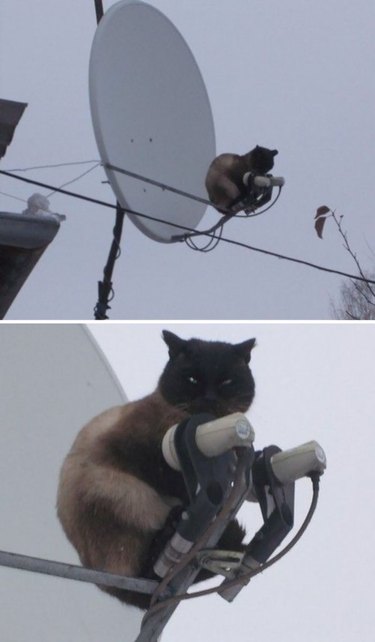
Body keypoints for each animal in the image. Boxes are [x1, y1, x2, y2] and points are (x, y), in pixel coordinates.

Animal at [56, 332, 256, 608]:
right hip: (122, 492)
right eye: (192, 379)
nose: (209, 398)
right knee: (145, 573)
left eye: (226, 381)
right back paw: (170, 528)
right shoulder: (141, 456)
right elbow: (177, 483)